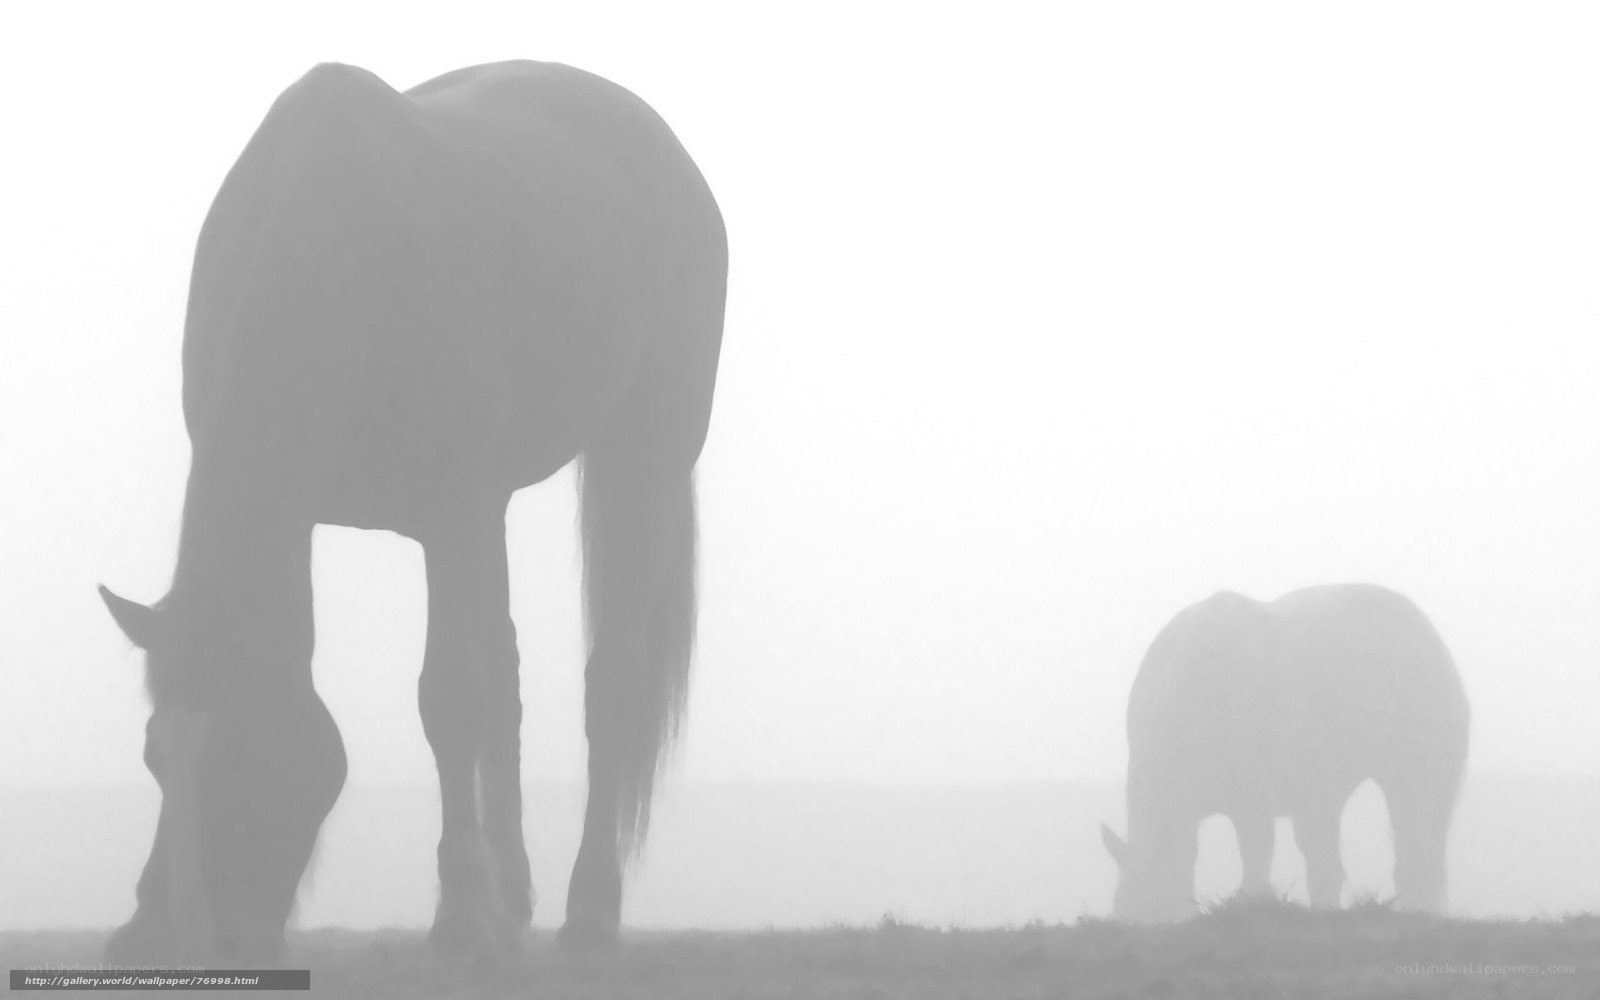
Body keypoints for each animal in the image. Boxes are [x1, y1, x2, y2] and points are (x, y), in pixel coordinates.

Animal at [97, 60, 726, 964]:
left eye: (244, 756)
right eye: (155, 756)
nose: (177, 942)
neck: (337, 244)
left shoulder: (451, 513)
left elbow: (450, 701)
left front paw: (460, 916)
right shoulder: (415, 514)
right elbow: (483, 694)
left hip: (641, 457)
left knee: (609, 682)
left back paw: (588, 914)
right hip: (493, 514)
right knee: (509, 675)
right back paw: (516, 902)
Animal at [1100, 583, 1470, 922]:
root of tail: (1434, 638)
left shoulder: (1253, 798)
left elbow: (1256, 854)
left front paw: (1252, 905)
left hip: (1424, 705)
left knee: (1415, 821)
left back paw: (1422, 911)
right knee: (1324, 830)